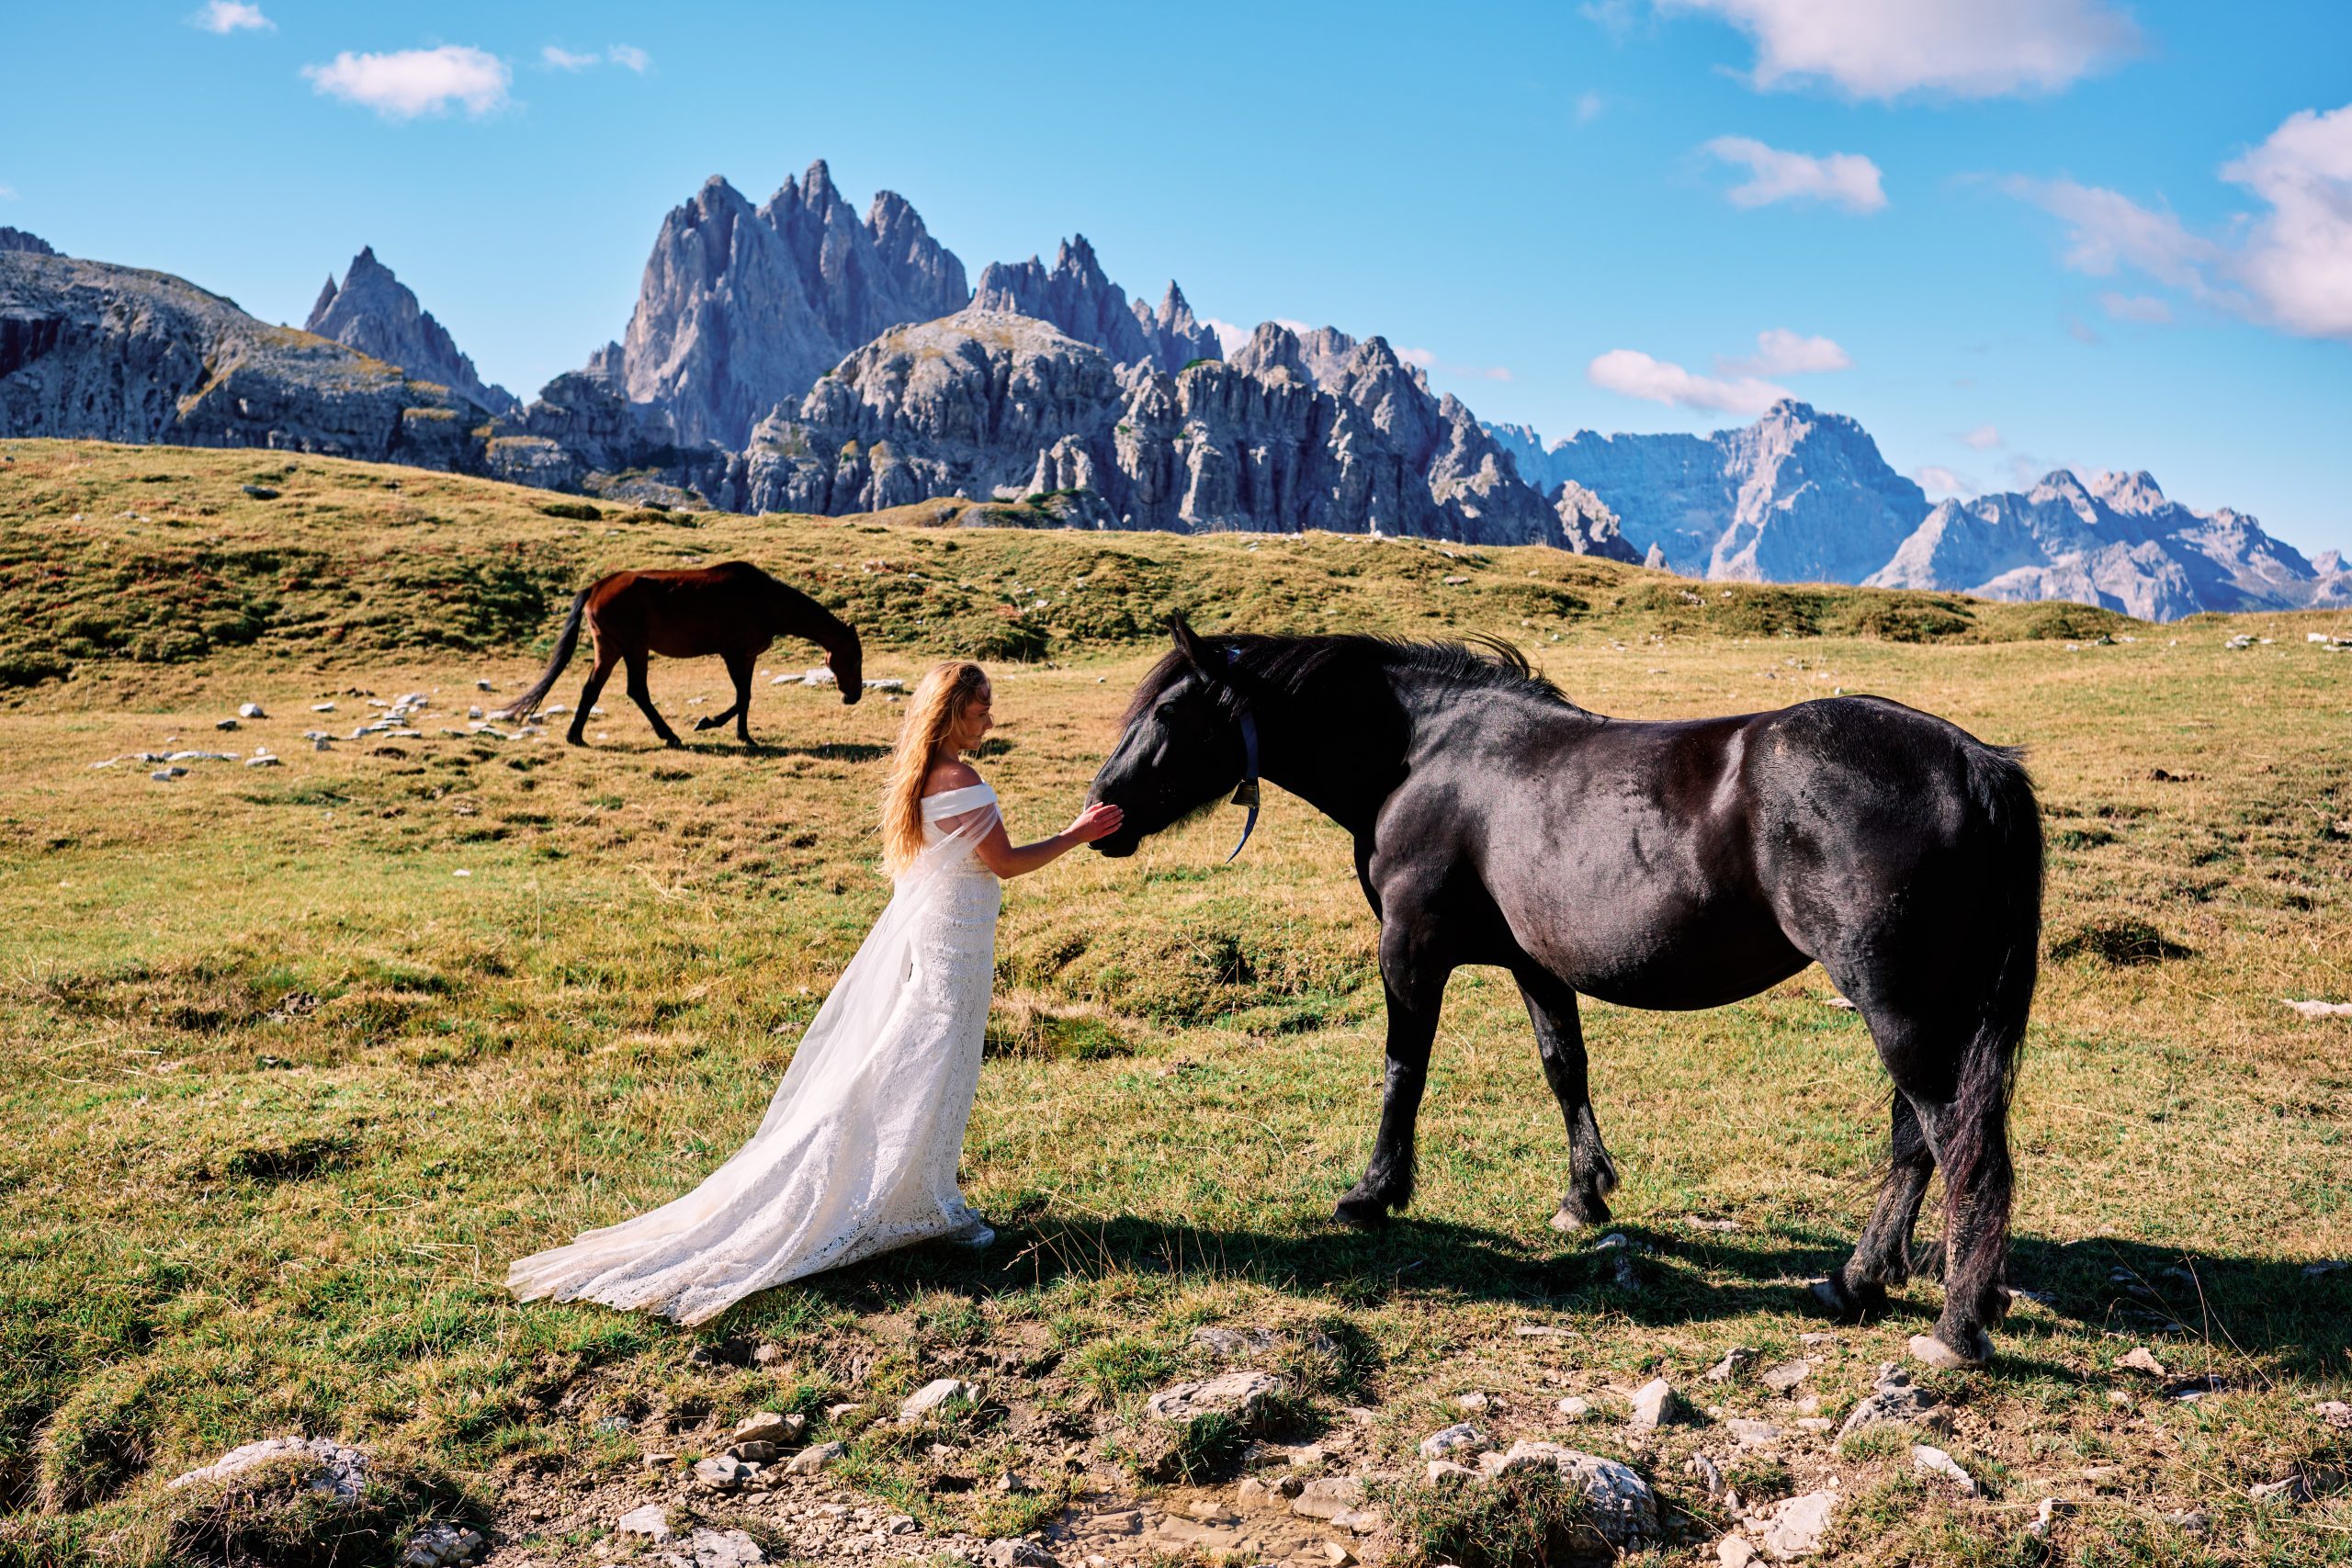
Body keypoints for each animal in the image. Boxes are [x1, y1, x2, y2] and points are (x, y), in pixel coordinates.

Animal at [494, 561, 863, 747]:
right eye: (854, 657)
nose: (854, 696)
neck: (765, 601)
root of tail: (597, 586)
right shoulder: (734, 654)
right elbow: (741, 698)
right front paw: (708, 723)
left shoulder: (748, 657)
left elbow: (745, 698)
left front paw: (744, 736)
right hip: (633, 647)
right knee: (637, 691)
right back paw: (670, 736)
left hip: (609, 648)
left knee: (591, 690)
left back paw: (576, 736)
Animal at [1086, 615, 2043, 1369]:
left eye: (1168, 712)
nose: (1101, 811)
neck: (1423, 756)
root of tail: (1973, 761)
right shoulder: (1537, 963)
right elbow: (1563, 1067)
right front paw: (1584, 1196)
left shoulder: (1410, 950)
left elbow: (1404, 1070)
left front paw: (1373, 1192)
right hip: (1925, 1010)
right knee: (1917, 1143)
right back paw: (1857, 1282)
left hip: (1899, 1007)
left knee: (1959, 1145)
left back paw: (1955, 1324)